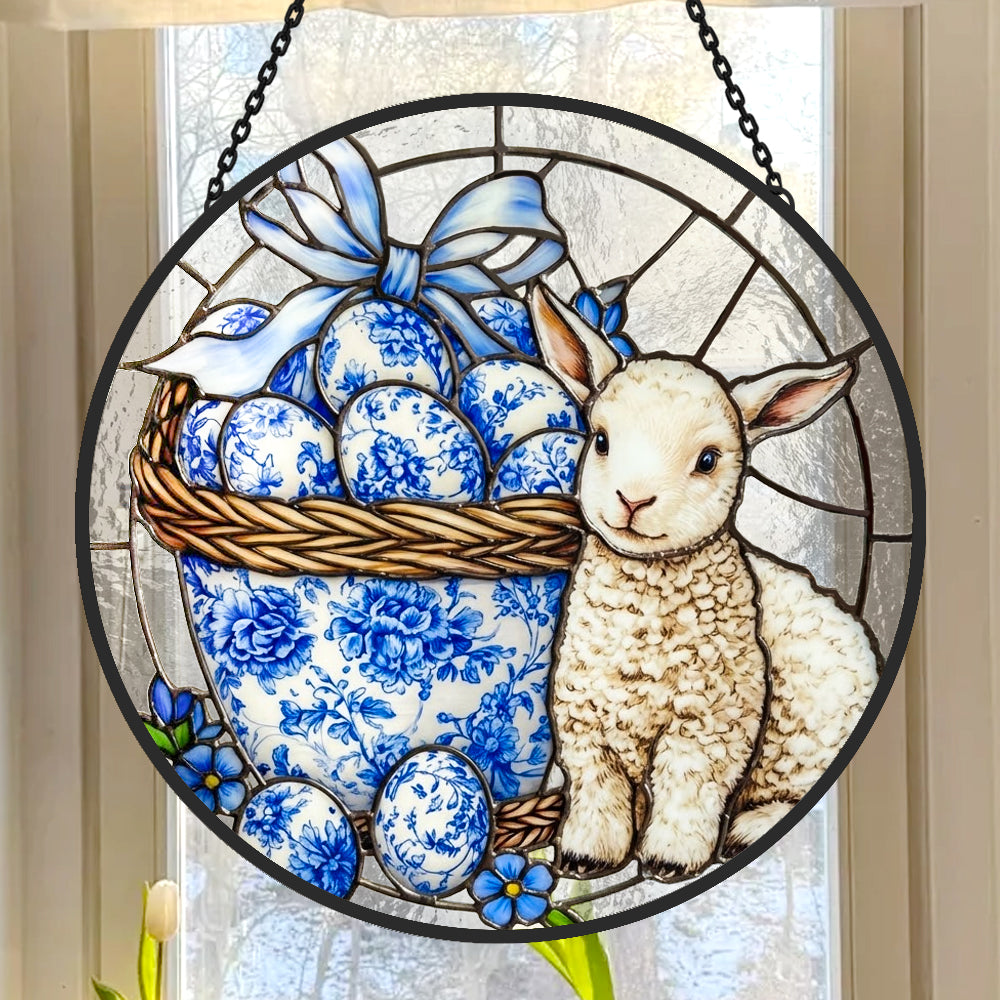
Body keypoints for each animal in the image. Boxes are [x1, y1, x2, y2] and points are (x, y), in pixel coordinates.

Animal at [527, 285, 879, 879]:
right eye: (600, 441)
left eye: (709, 460)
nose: (633, 500)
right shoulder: (588, 724)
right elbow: (601, 793)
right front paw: (583, 858)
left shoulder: (710, 722)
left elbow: (687, 787)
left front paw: (669, 862)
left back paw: (747, 832)